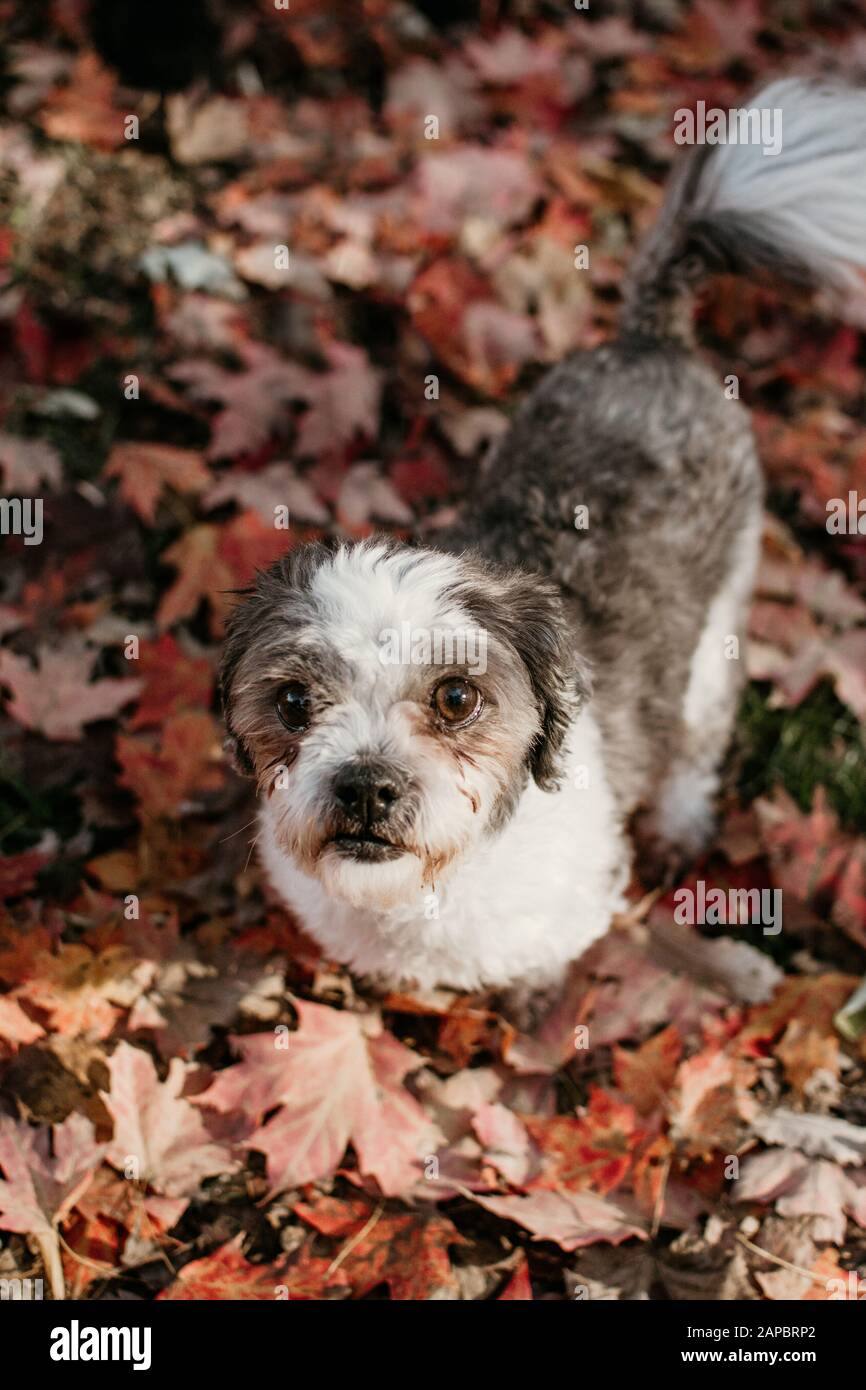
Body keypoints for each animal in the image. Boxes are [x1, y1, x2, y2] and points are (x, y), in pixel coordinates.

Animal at [219, 78, 866, 1000]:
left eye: (458, 697)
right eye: (293, 701)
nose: (367, 787)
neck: (427, 889)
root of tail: (647, 339)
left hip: (717, 636)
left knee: (696, 740)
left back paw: (679, 819)